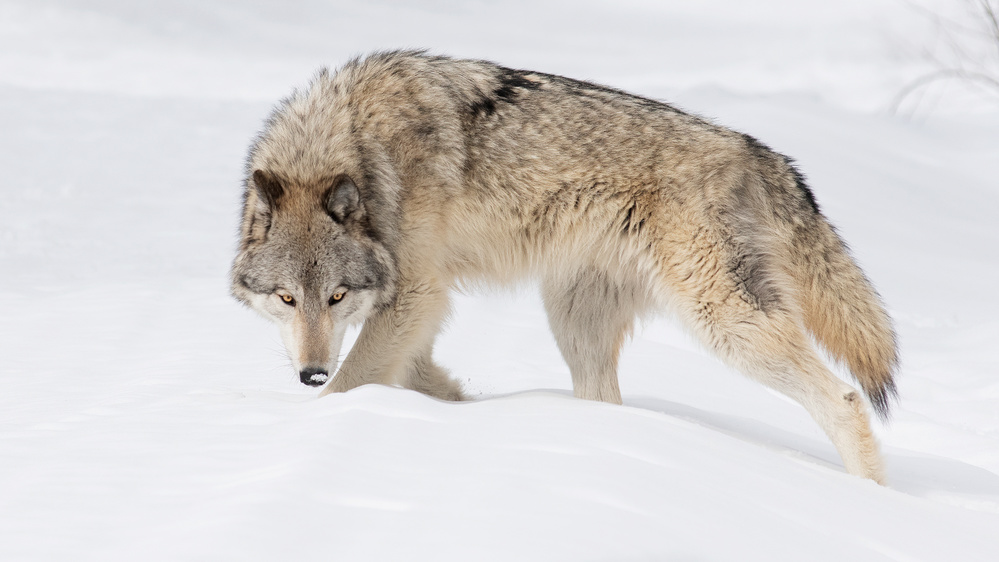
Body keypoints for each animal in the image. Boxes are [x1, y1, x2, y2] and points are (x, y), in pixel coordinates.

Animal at [231, 51, 898, 483]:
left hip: (724, 324)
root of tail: (762, 153)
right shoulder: (416, 306)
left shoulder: (417, 291)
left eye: (337, 296)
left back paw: (866, 501)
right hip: (574, 322)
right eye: (287, 299)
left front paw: (320, 419)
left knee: (844, 398)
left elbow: (356, 381)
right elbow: (415, 372)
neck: (359, 148)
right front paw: (454, 404)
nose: (309, 373)